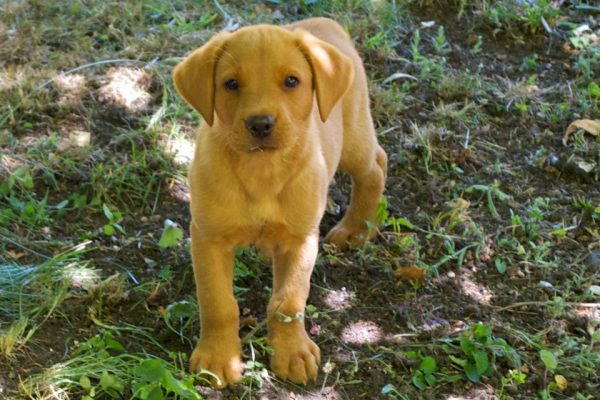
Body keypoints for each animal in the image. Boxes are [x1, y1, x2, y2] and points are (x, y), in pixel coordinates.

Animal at [172, 16, 390, 388]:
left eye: (291, 81)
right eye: (231, 84)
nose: (261, 124)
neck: (262, 170)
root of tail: (324, 22)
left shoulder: (300, 240)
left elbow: (288, 302)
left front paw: (292, 353)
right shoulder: (208, 237)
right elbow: (218, 303)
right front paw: (218, 358)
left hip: (354, 138)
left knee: (376, 165)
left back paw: (357, 229)